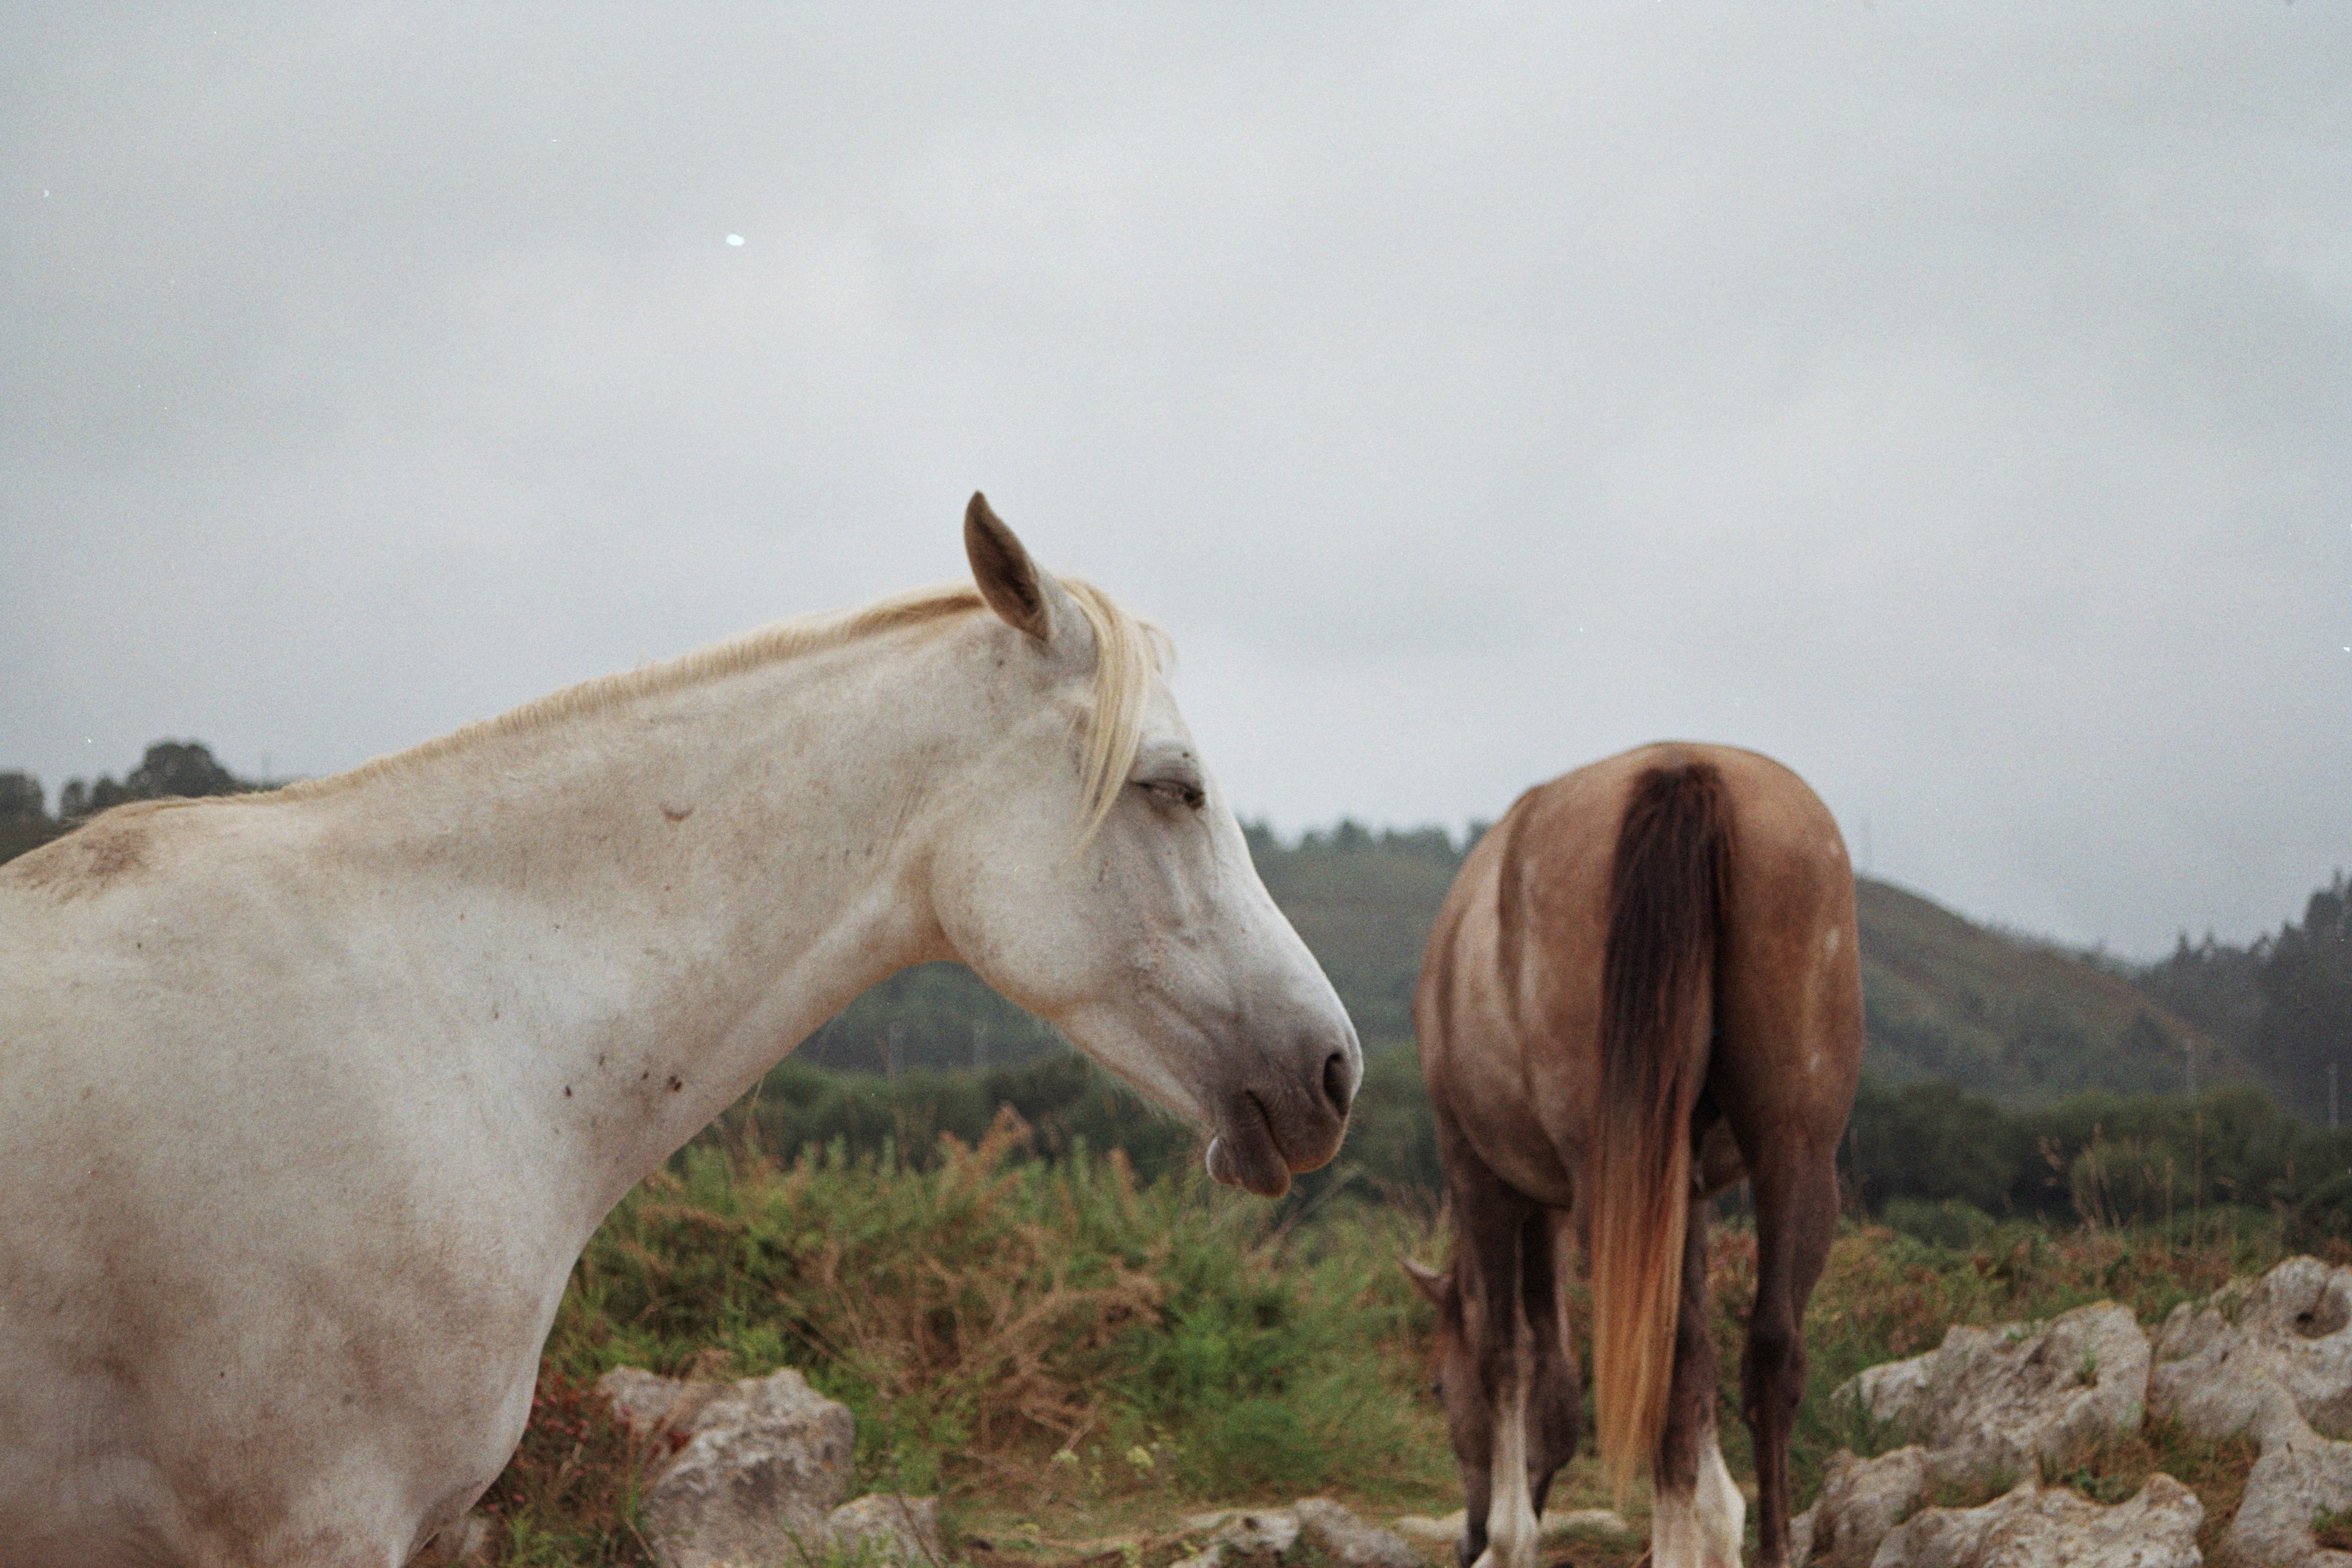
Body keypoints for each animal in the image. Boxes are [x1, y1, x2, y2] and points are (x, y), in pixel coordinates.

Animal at [1404, 743, 1861, 1568]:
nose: (1465, 1538)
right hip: (1798, 1157)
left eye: (1435, 1387)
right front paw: (1719, 1520)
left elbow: (1510, 1353)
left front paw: (1510, 1539)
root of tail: (1688, 770)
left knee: (1663, 1366)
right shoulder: (1688, 1195)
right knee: (1768, 1352)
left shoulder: (1481, 1177)